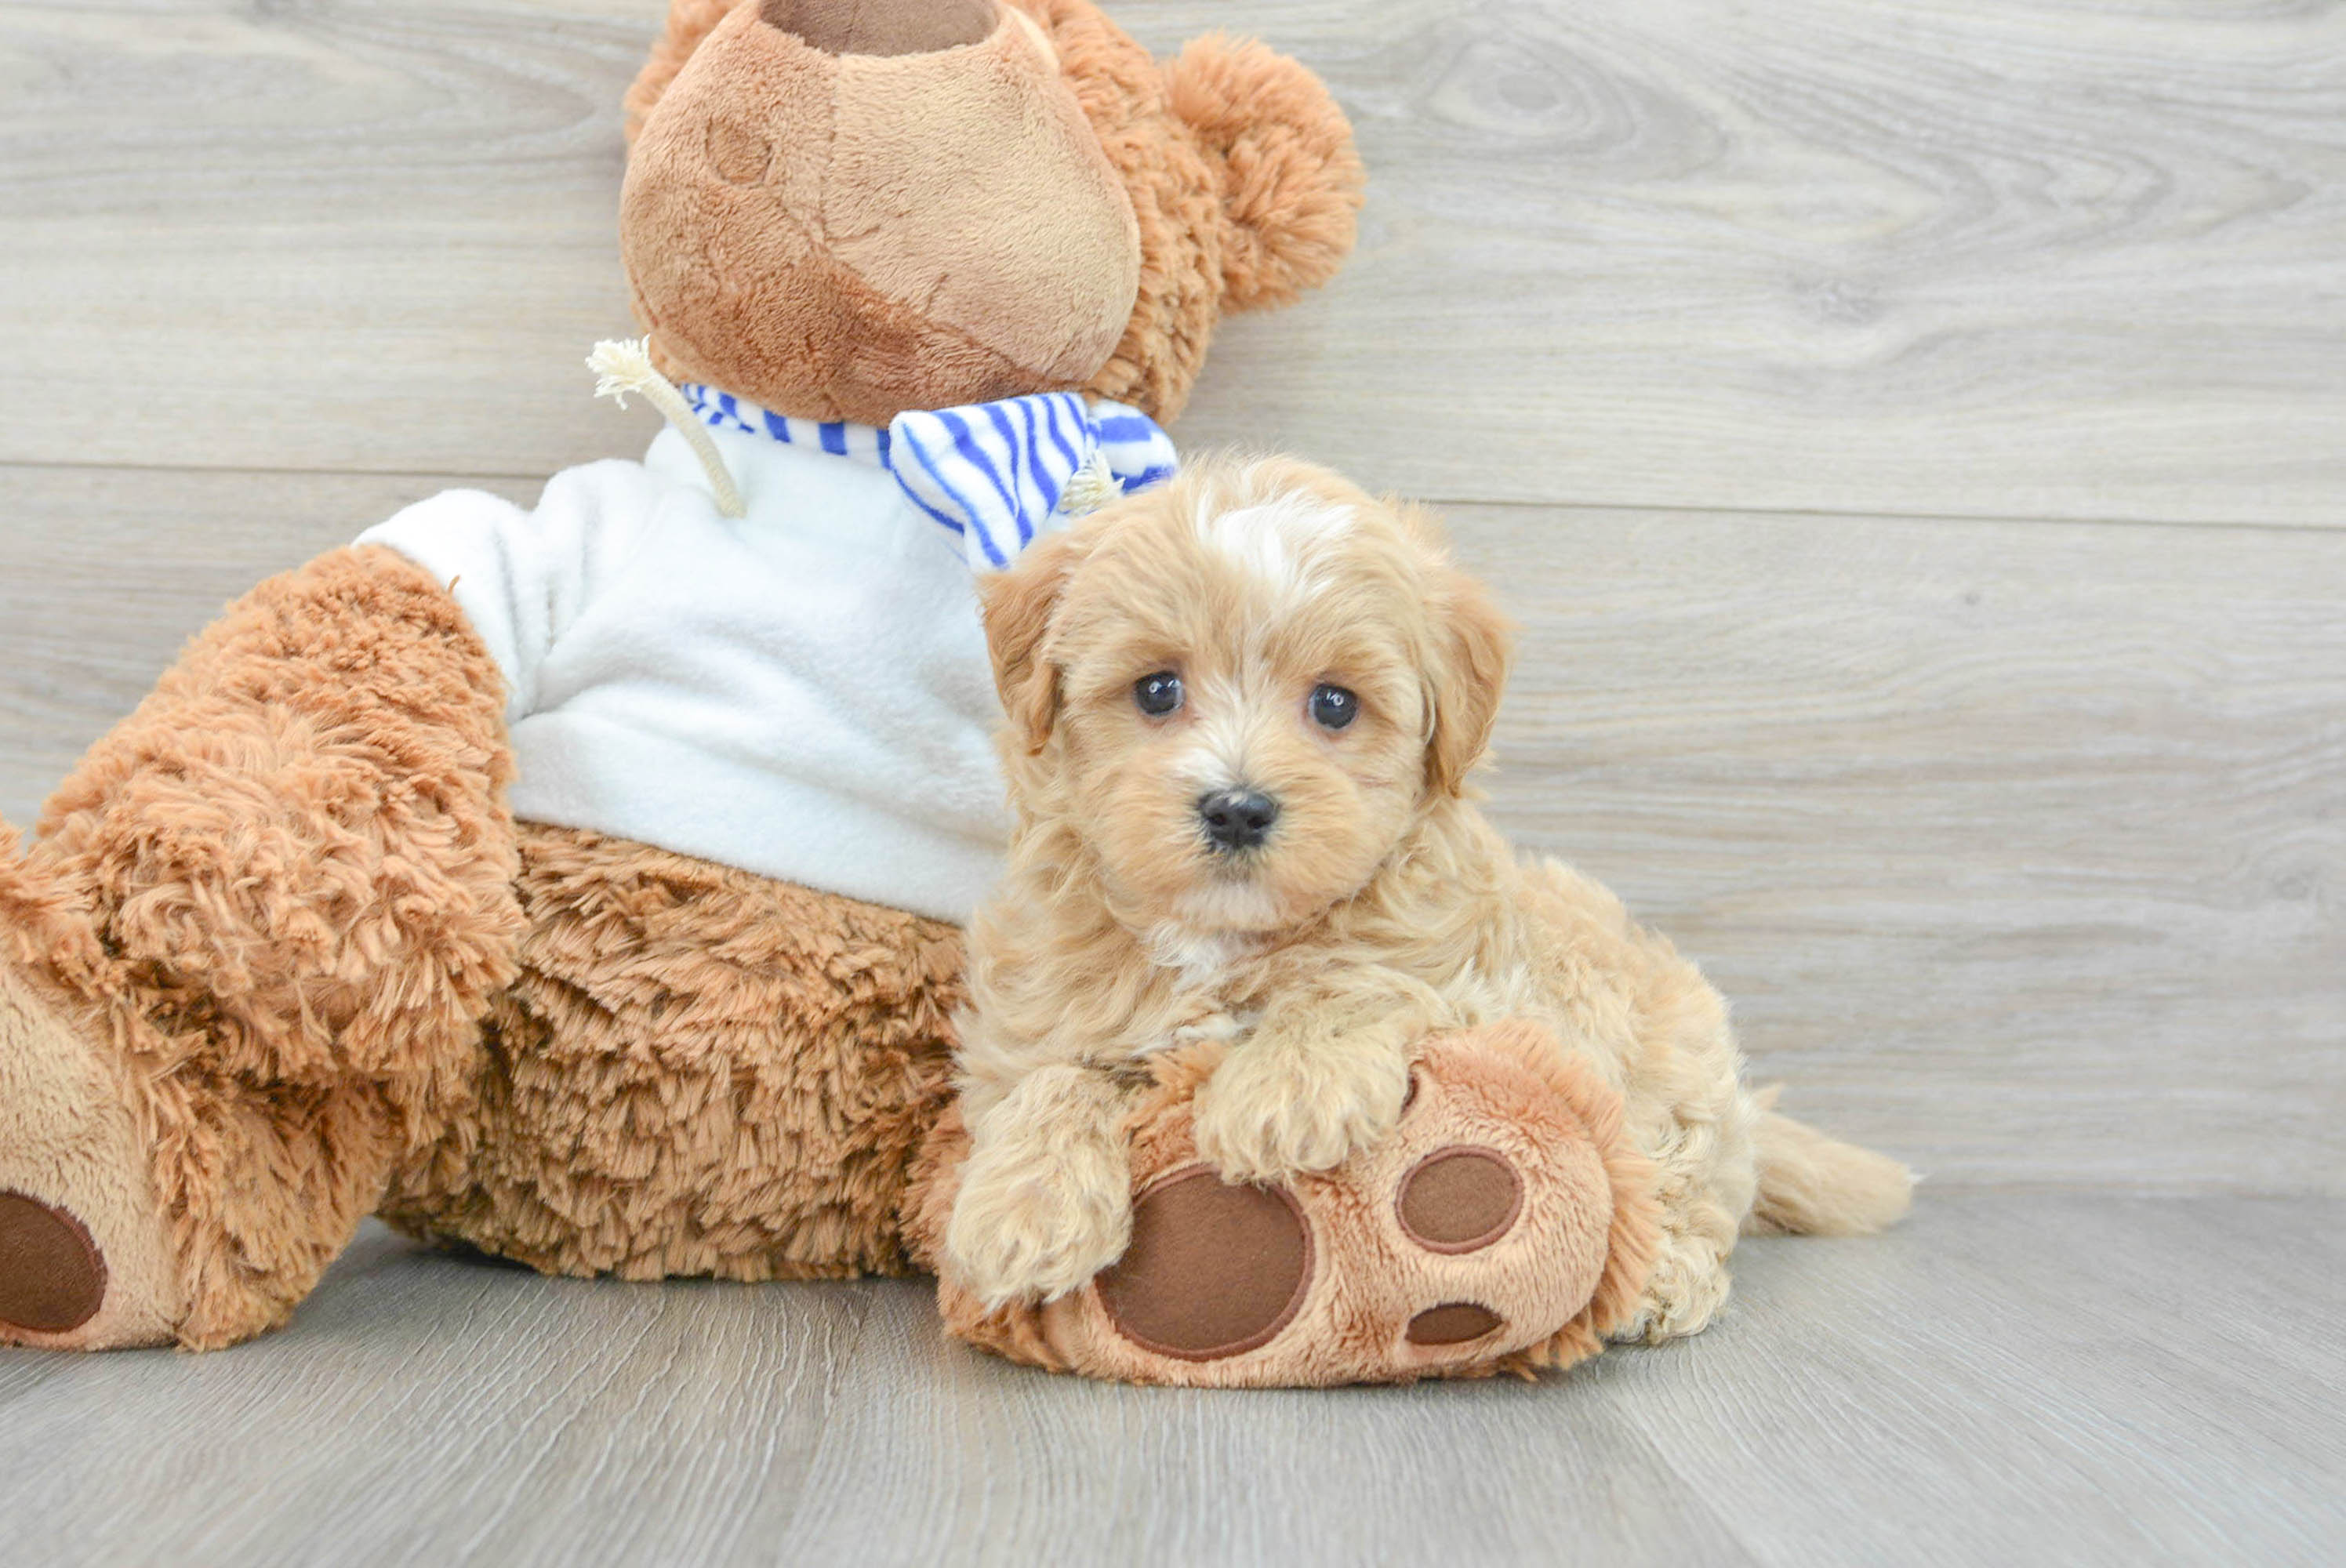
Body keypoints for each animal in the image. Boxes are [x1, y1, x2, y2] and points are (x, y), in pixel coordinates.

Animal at [942, 452, 1914, 1333]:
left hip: (1670, 1076)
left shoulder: (1483, 989)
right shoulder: (1039, 1010)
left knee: (1687, 1185)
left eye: (1335, 705)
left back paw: (1667, 1277)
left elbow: (1368, 980)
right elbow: (1052, 1075)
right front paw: (1021, 1210)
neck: (1226, 942)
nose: (1237, 807)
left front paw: (1285, 1088)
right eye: (1155, 689)